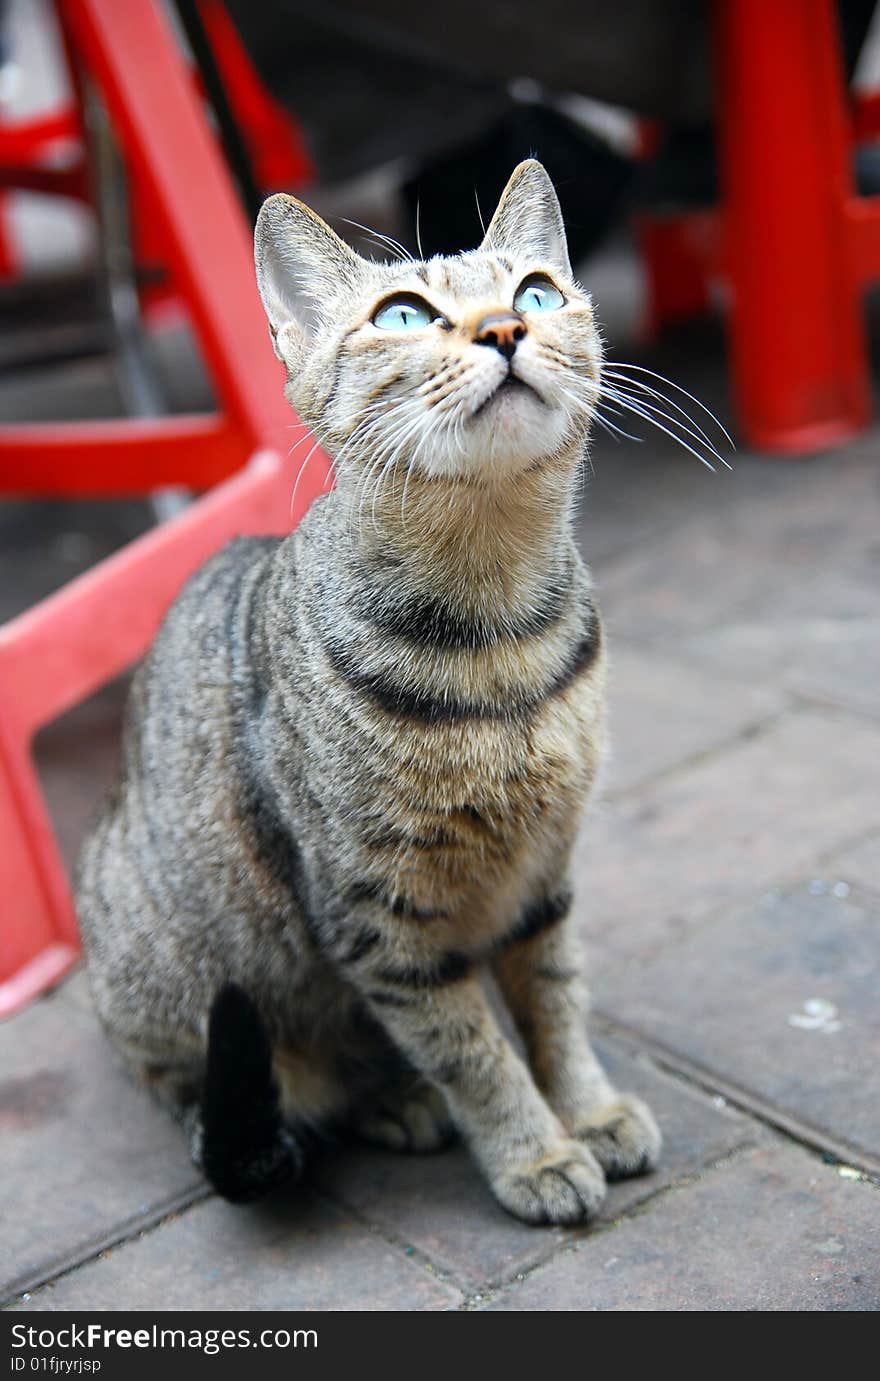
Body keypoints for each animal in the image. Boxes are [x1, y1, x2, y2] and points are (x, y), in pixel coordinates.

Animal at [77, 156, 657, 1226]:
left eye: (536, 295)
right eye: (403, 315)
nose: (504, 329)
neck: (498, 634)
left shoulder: (545, 876)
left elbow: (556, 1004)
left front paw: (589, 1109)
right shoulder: (382, 919)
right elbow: (474, 1051)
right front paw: (535, 1152)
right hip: (179, 980)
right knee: (233, 1083)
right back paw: (389, 1097)